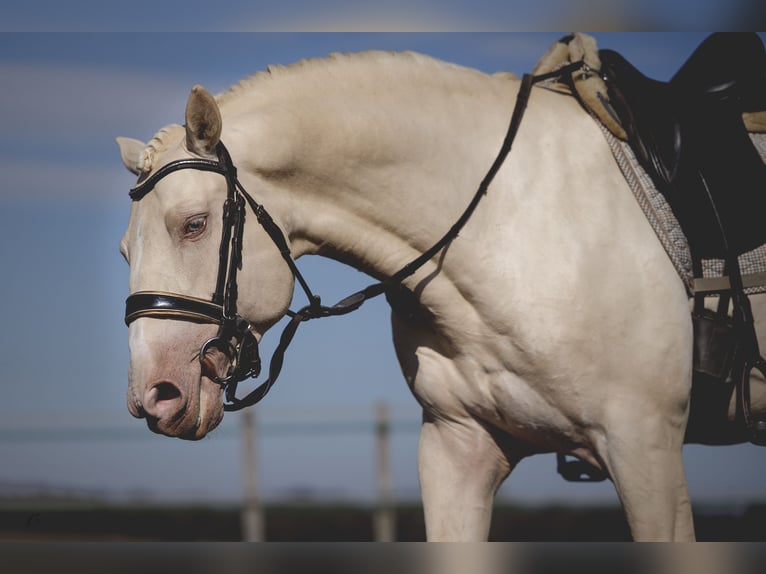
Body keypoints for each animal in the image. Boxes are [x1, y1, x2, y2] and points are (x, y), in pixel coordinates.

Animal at [118, 51, 766, 544]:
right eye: (125, 251)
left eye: (194, 224)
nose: (155, 396)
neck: (510, 229)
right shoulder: (458, 449)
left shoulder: (644, 445)